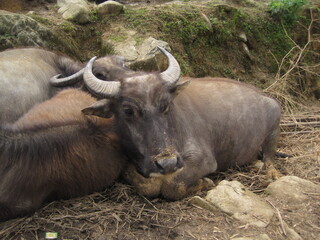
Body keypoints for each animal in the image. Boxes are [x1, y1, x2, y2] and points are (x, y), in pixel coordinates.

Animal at [81, 46, 282, 200]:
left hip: (274, 126)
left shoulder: (203, 160)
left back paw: (273, 174)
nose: (167, 163)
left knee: (269, 156)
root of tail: (264, 97)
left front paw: (205, 182)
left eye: (166, 104)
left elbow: (171, 185)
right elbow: (148, 185)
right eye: (128, 111)